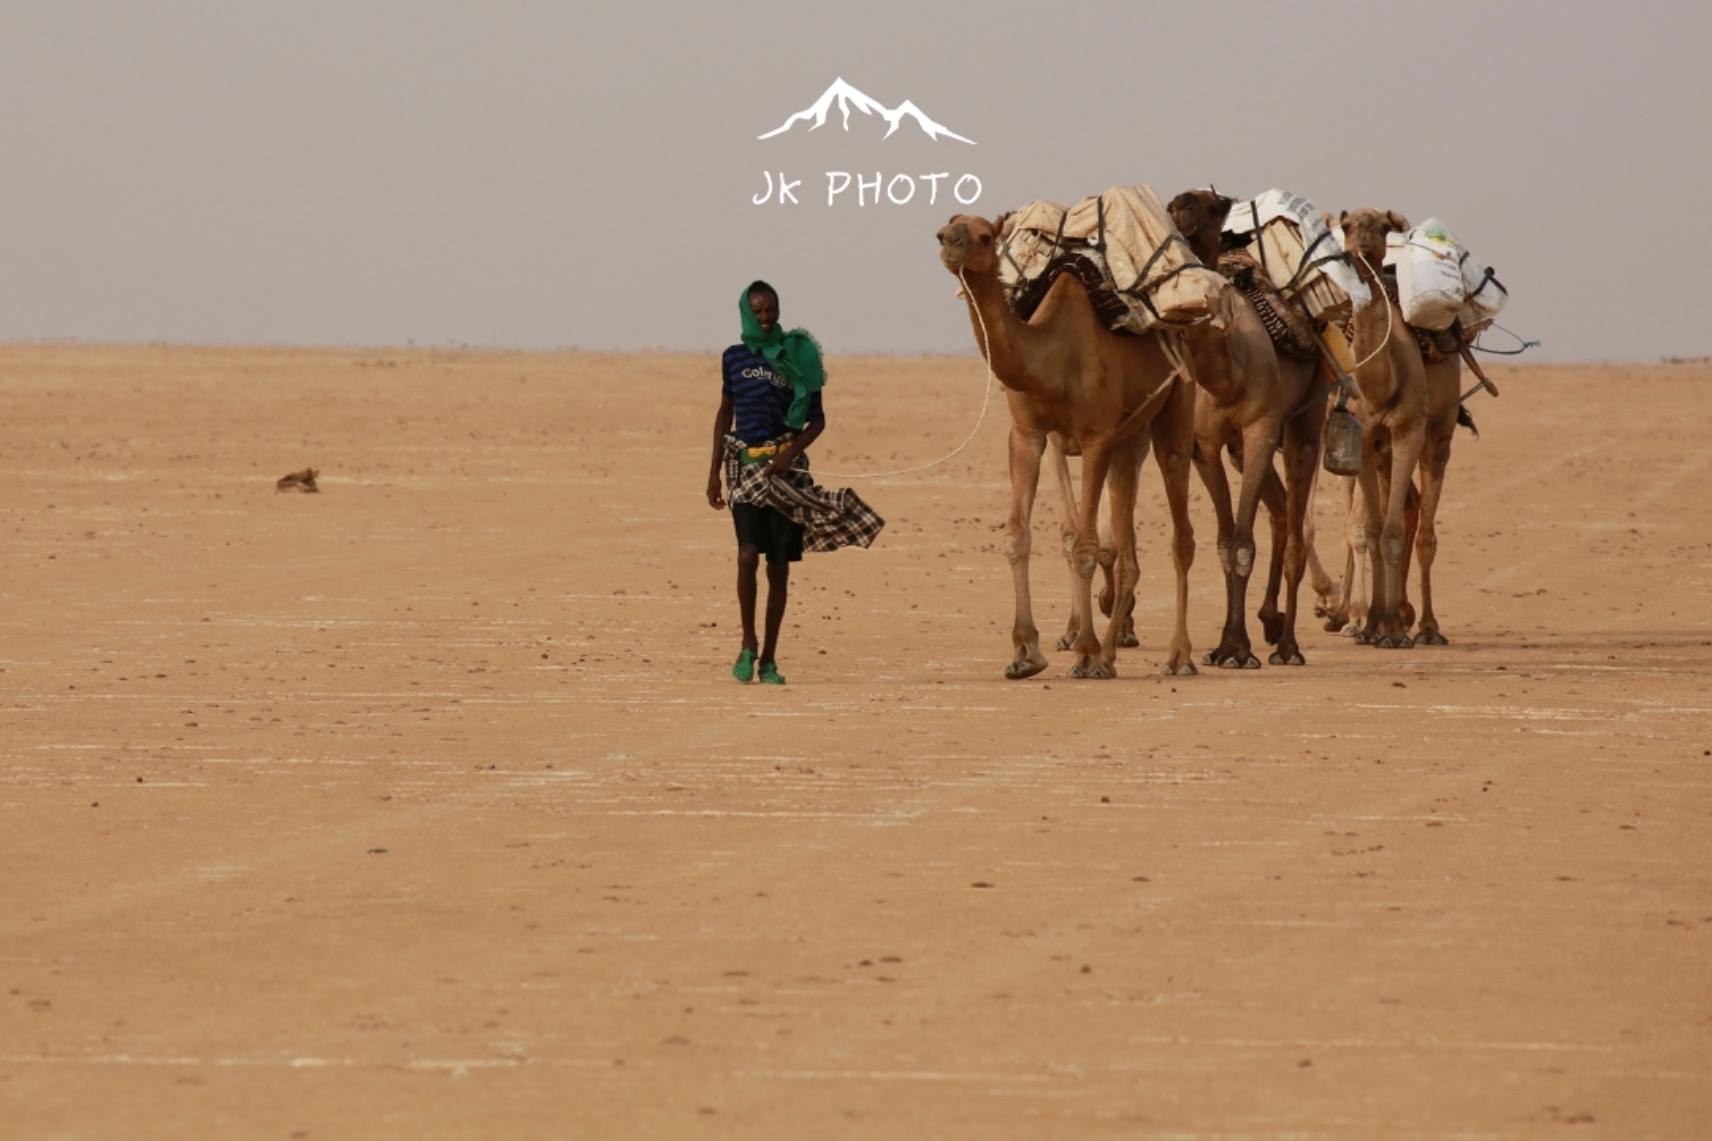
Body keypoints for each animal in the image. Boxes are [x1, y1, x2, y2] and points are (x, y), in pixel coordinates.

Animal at [938, 213, 1205, 675]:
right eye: (943, 231)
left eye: (985, 237)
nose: (949, 245)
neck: (1052, 359)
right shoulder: (1027, 434)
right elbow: (1018, 536)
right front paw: (1025, 652)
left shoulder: (1095, 436)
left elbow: (1085, 543)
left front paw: (1086, 652)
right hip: (1128, 437)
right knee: (1128, 547)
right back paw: (1113, 652)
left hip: (1176, 402)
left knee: (1180, 534)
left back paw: (1178, 656)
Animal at [1171, 187, 1328, 668]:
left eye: (1213, 203)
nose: (1179, 204)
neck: (1227, 373)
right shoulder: (1205, 444)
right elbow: (1226, 542)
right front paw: (1228, 645)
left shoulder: (1261, 428)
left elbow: (1242, 541)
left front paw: (1237, 647)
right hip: (1241, 449)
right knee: (1279, 514)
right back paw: (1271, 622)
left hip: (1306, 416)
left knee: (1294, 528)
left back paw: (1288, 645)